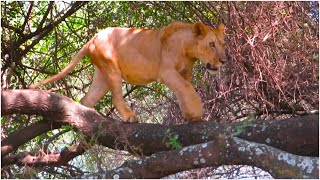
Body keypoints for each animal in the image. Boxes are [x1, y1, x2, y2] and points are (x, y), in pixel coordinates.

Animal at [31, 20, 228, 122]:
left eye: (223, 44)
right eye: (211, 44)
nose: (224, 61)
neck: (188, 50)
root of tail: (93, 38)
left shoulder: (185, 73)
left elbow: (184, 91)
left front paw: (189, 114)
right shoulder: (166, 72)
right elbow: (188, 89)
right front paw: (196, 113)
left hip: (102, 76)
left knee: (87, 99)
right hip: (112, 69)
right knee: (116, 97)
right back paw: (129, 116)